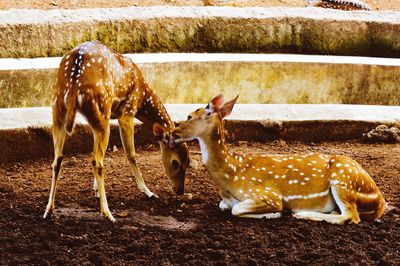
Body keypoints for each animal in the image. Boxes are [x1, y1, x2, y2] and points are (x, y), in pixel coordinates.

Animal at [43, 40, 190, 222]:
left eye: (189, 162)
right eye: (175, 162)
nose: (180, 191)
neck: (143, 97)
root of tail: (74, 80)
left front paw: (96, 189)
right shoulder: (127, 112)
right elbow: (131, 153)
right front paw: (148, 192)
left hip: (58, 109)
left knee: (58, 159)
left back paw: (48, 210)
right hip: (101, 110)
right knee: (96, 161)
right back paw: (107, 213)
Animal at [170, 94, 386, 223]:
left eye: (189, 116)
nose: (173, 133)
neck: (231, 177)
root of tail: (380, 200)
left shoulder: (267, 194)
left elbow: (237, 209)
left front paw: (276, 213)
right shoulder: (227, 200)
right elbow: (225, 206)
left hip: (343, 180)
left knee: (351, 216)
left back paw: (301, 214)